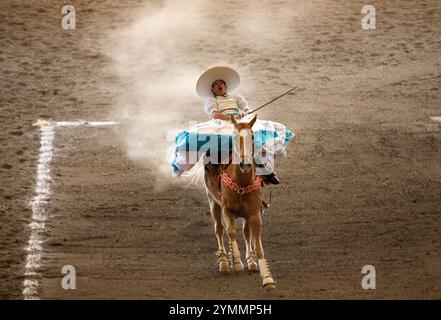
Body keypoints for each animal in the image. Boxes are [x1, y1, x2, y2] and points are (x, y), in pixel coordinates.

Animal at [204, 115, 276, 290]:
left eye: (252, 136)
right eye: (235, 137)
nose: (245, 164)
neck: (241, 183)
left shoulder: (254, 214)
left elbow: (257, 244)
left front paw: (267, 278)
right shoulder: (226, 210)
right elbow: (230, 232)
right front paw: (236, 263)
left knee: (245, 232)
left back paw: (250, 261)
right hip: (212, 201)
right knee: (218, 229)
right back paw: (224, 261)